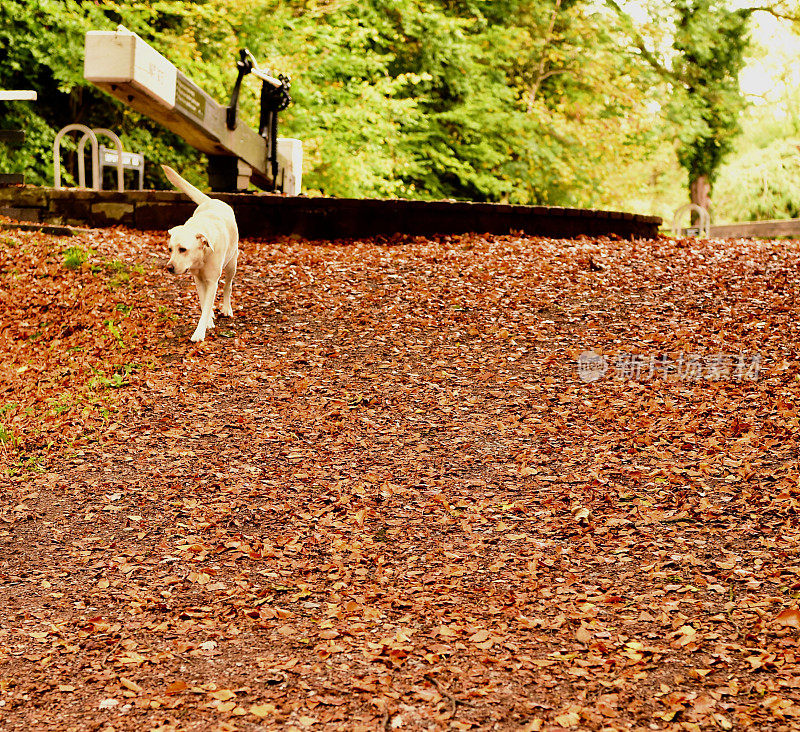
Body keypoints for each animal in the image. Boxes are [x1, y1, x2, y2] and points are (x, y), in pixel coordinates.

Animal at [162, 164, 238, 342]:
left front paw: (199, 332)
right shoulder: (198, 278)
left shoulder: (212, 280)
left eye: (183, 249)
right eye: (170, 249)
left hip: (232, 264)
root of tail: (211, 200)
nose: (169, 268)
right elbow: (204, 302)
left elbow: (210, 299)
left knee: (228, 286)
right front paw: (208, 319)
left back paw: (226, 308)